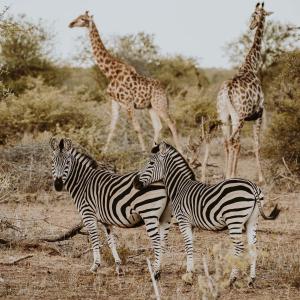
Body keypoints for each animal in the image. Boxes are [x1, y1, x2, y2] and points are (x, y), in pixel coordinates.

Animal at [49, 138, 171, 278]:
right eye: (53, 162)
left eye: (67, 162)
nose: (58, 185)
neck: (83, 183)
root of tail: (162, 179)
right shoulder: (106, 220)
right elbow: (111, 241)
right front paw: (118, 267)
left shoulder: (88, 214)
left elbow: (95, 239)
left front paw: (95, 266)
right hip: (165, 215)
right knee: (163, 241)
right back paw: (160, 270)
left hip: (149, 213)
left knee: (157, 241)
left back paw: (155, 271)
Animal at [68, 11, 180, 152]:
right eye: (77, 16)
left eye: (83, 19)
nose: (70, 24)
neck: (110, 73)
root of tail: (165, 91)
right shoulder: (114, 101)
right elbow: (112, 126)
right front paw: (104, 151)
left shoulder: (128, 102)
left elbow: (137, 128)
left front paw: (143, 151)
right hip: (151, 106)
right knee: (158, 126)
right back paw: (153, 150)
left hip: (160, 105)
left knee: (172, 123)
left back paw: (181, 151)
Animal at [134, 142, 278, 288]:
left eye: (151, 163)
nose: (135, 183)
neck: (180, 187)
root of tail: (252, 186)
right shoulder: (190, 223)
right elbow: (191, 244)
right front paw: (190, 272)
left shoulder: (183, 220)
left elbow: (187, 244)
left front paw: (188, 275)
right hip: (252, 220)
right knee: (253, 247)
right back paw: (251, 279)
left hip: (234, 220)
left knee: (239, 247)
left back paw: (232, 279)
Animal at [217, 2, 274, 182]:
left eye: (254, 15)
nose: (250, 26)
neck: (251, 65)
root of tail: (228, 90)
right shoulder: (259, 113)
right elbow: (256, 145)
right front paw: (262, 178)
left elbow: (242, 144)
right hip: (239, 116)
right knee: (233, 141)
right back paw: (230, 175)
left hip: (224, 115)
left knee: (227, 141)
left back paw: (227, 175)